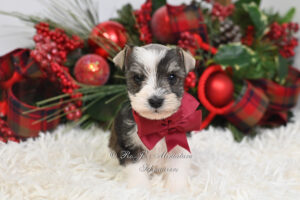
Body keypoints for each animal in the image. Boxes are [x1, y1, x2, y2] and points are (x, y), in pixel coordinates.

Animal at [109, 44, 196, 192]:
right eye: (137, 77)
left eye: (172, 76)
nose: (156, 101)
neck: (156, 124)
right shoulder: (130, 148)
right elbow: (136, 169)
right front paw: (140, 189)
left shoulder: (179, 147)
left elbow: (177, 168)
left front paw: (176, 189)